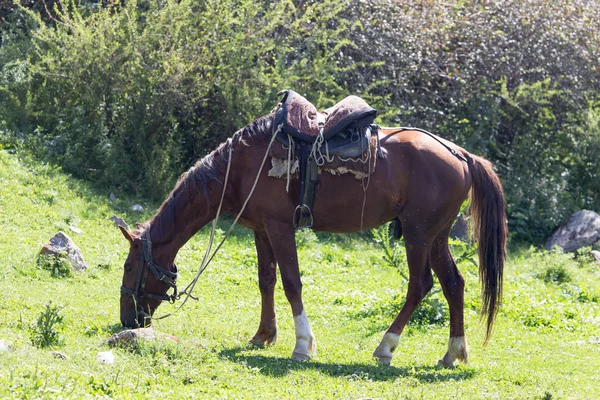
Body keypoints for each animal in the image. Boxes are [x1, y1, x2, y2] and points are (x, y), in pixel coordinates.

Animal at [119, 111, 508, 366]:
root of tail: (461, 155)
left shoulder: (280, 227)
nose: (127, 321)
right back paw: (453, 353)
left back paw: (386, 346)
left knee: (420, 285)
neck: (242, 165)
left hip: (418, 235)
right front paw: (263, 335)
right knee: (454, 284)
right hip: (436, 237)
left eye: (129, 267)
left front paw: (302, 345)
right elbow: (266, 280)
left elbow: (292, 283)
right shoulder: (261, 229)